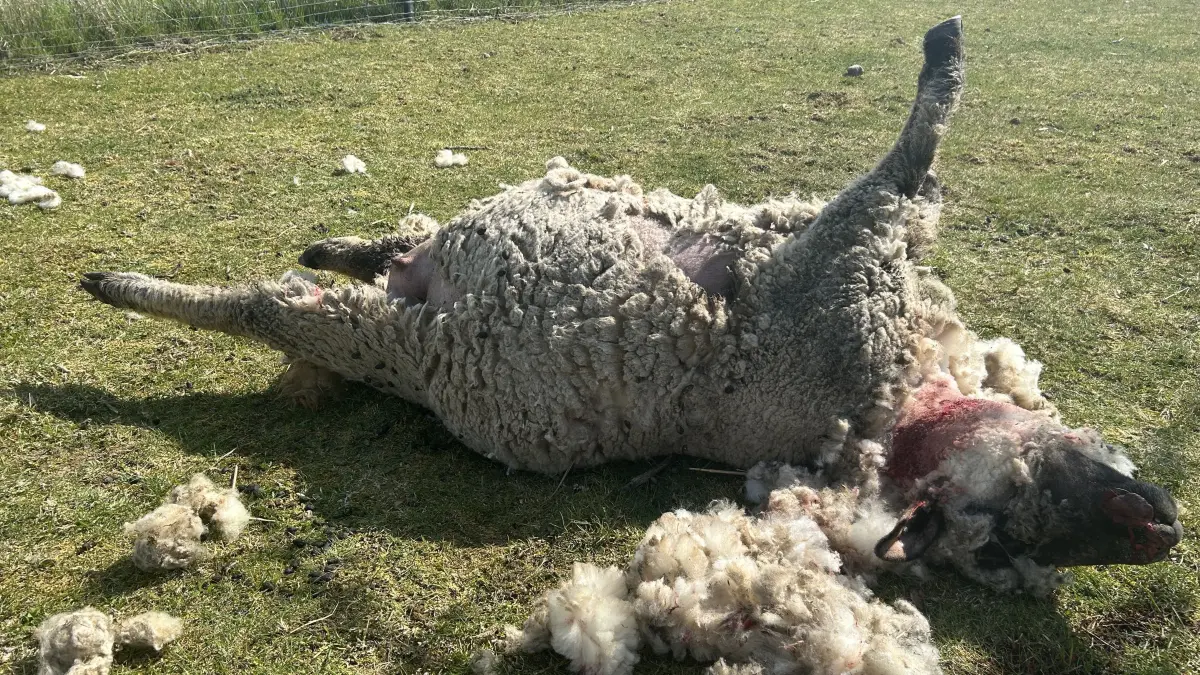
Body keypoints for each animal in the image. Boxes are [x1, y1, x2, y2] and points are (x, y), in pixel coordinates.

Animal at [78, 17, 1181, 589]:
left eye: (1014, 536)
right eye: (1039, 514)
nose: (1163, 526)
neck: (901, 412)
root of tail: (416, 293)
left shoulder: (838, 262)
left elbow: (910, 166)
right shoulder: (837, 242)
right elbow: (915, 162)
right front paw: (946, 48)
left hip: (395, 338)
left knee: (274, 305)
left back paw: (133, 284)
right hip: (415, 291)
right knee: (373, 252)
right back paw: (314, 248)